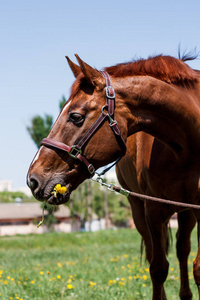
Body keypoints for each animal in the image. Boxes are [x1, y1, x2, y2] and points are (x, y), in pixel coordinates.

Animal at [27, 54, 200, 300]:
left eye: (76, 116)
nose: (33, 179)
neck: (186, 146)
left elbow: (197, 267)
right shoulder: (153, 210)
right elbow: (158, 268)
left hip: (185, 213)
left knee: (182, 249)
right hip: (140, 210)